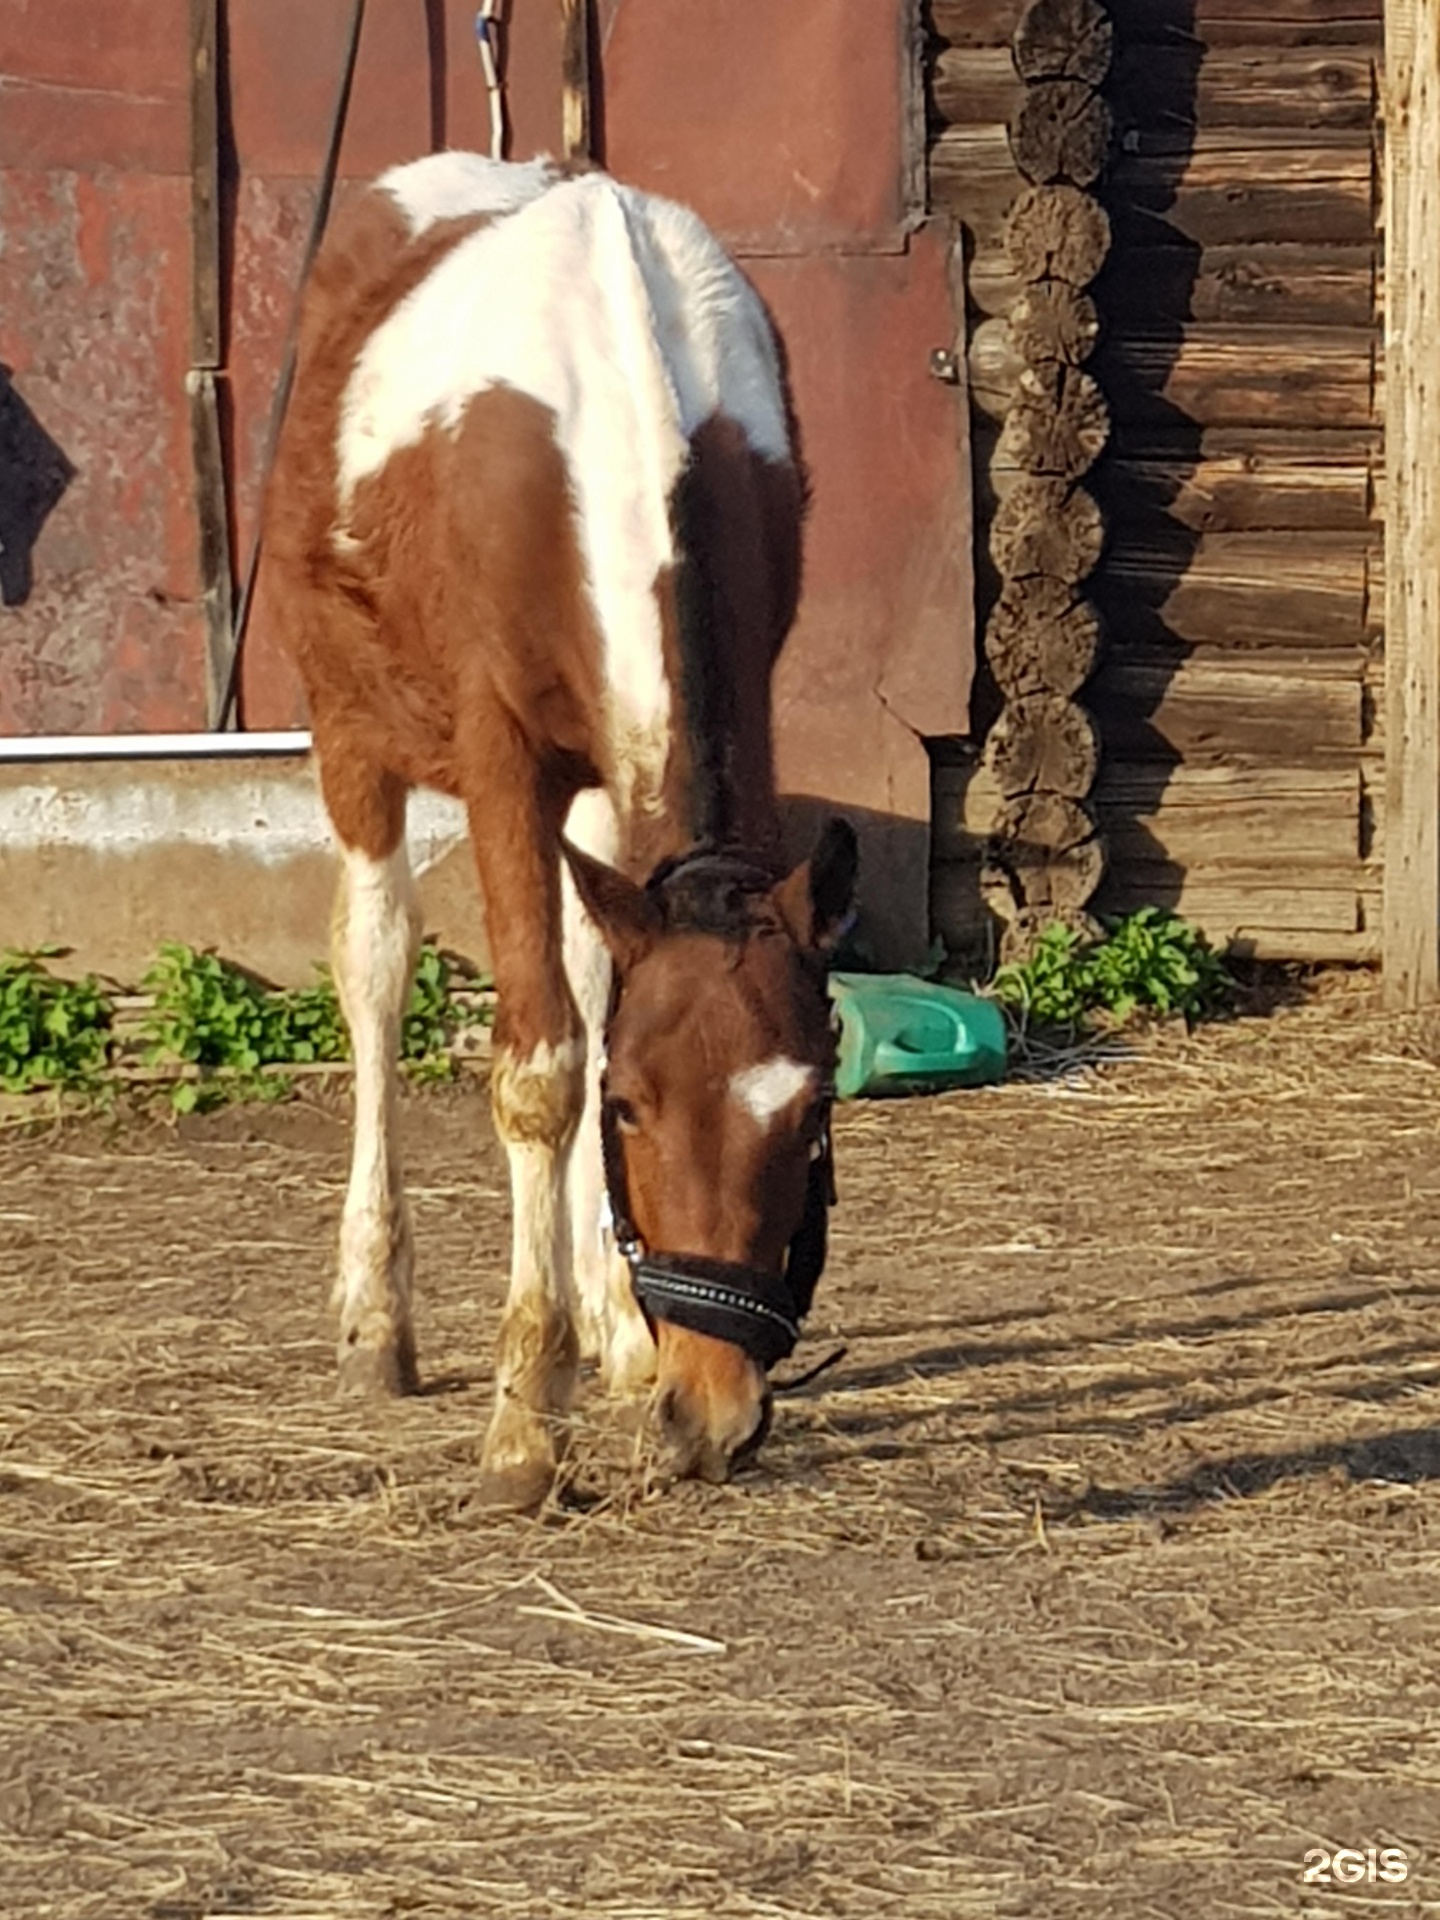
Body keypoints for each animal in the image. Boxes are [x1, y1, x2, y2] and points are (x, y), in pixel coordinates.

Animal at [263, 153, 856, 1497]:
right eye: (635, 1107)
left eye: (811, 1113)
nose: (718, 1410)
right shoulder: (500, 755)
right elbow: (539, 1069)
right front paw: (524, 1418)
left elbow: (586, 1013)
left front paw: (616, 1328)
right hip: (351, 724)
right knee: (374, 967)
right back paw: (376, 1318)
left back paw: (612, 1321)